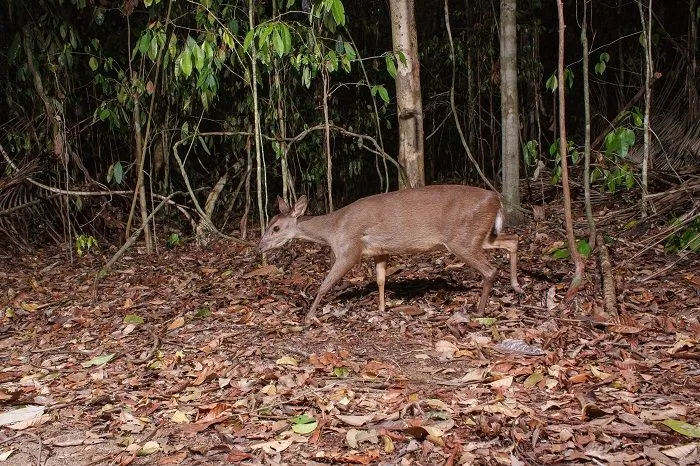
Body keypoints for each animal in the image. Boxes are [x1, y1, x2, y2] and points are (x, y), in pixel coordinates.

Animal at [260, 184, 524, 326]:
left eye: (276, 228)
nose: (260, 247)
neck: (332, 229)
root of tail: (496, 198)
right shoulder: (379, 251)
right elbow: (380, 279)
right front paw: (382, 309)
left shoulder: (349, 249)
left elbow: (325, 284)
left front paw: (308, 317)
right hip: (479, 235)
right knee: (512, 240)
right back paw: (517, 286)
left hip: (462, 239)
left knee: (490, 270)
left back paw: (479, 311)